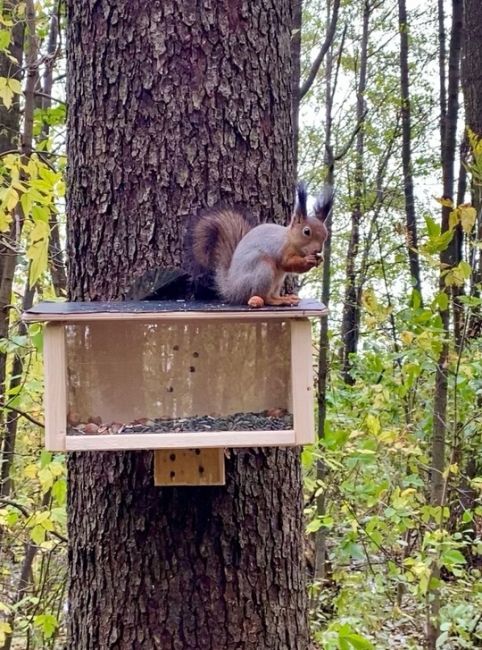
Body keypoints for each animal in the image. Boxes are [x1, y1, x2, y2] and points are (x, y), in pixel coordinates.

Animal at [187, 180, 332, 306]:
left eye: (325, 234)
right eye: (306, 231)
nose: (317, 250)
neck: (290, 240)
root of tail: (233, 289)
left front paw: (320, 259)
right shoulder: (280, 248)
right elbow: (287, 263)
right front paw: (308, 260)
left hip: (278, 280)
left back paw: (285, 298)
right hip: (263, 269)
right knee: (265, 297)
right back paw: (277, 301)